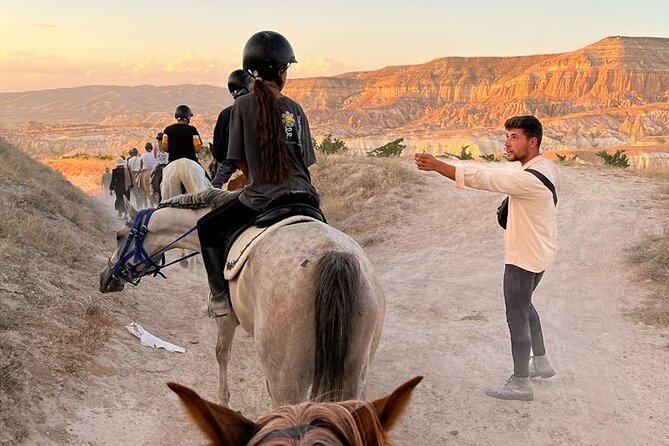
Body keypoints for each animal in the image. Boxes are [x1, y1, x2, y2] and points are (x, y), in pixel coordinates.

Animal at [96, 190, 384, 406]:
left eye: (119, 236)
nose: (105, 277)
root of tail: (332, 256)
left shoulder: (226, 318)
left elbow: (221, 353)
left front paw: (223, 401)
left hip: (288, 381)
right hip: (355, 374)